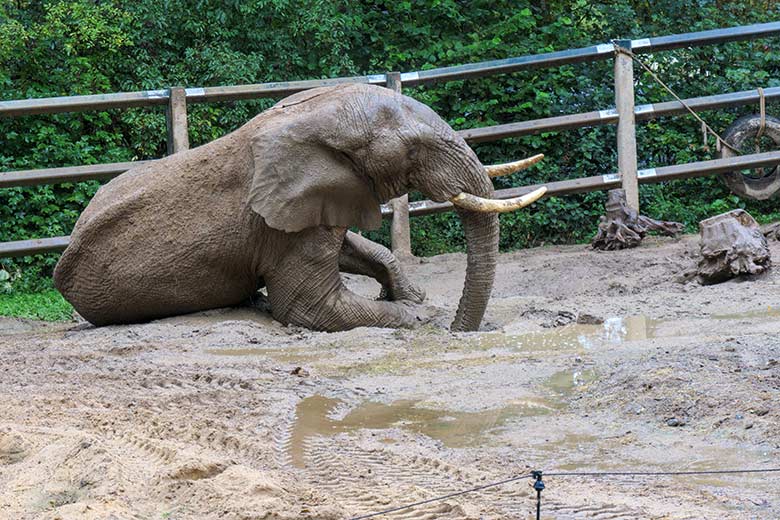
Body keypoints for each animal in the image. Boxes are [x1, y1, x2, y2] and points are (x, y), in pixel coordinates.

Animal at [51, 83, 544, 332]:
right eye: (414, 150)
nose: (461, 329)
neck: (312, 115)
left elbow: (354, 248)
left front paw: (413, 297)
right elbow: (310, 308)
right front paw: (423, 316)